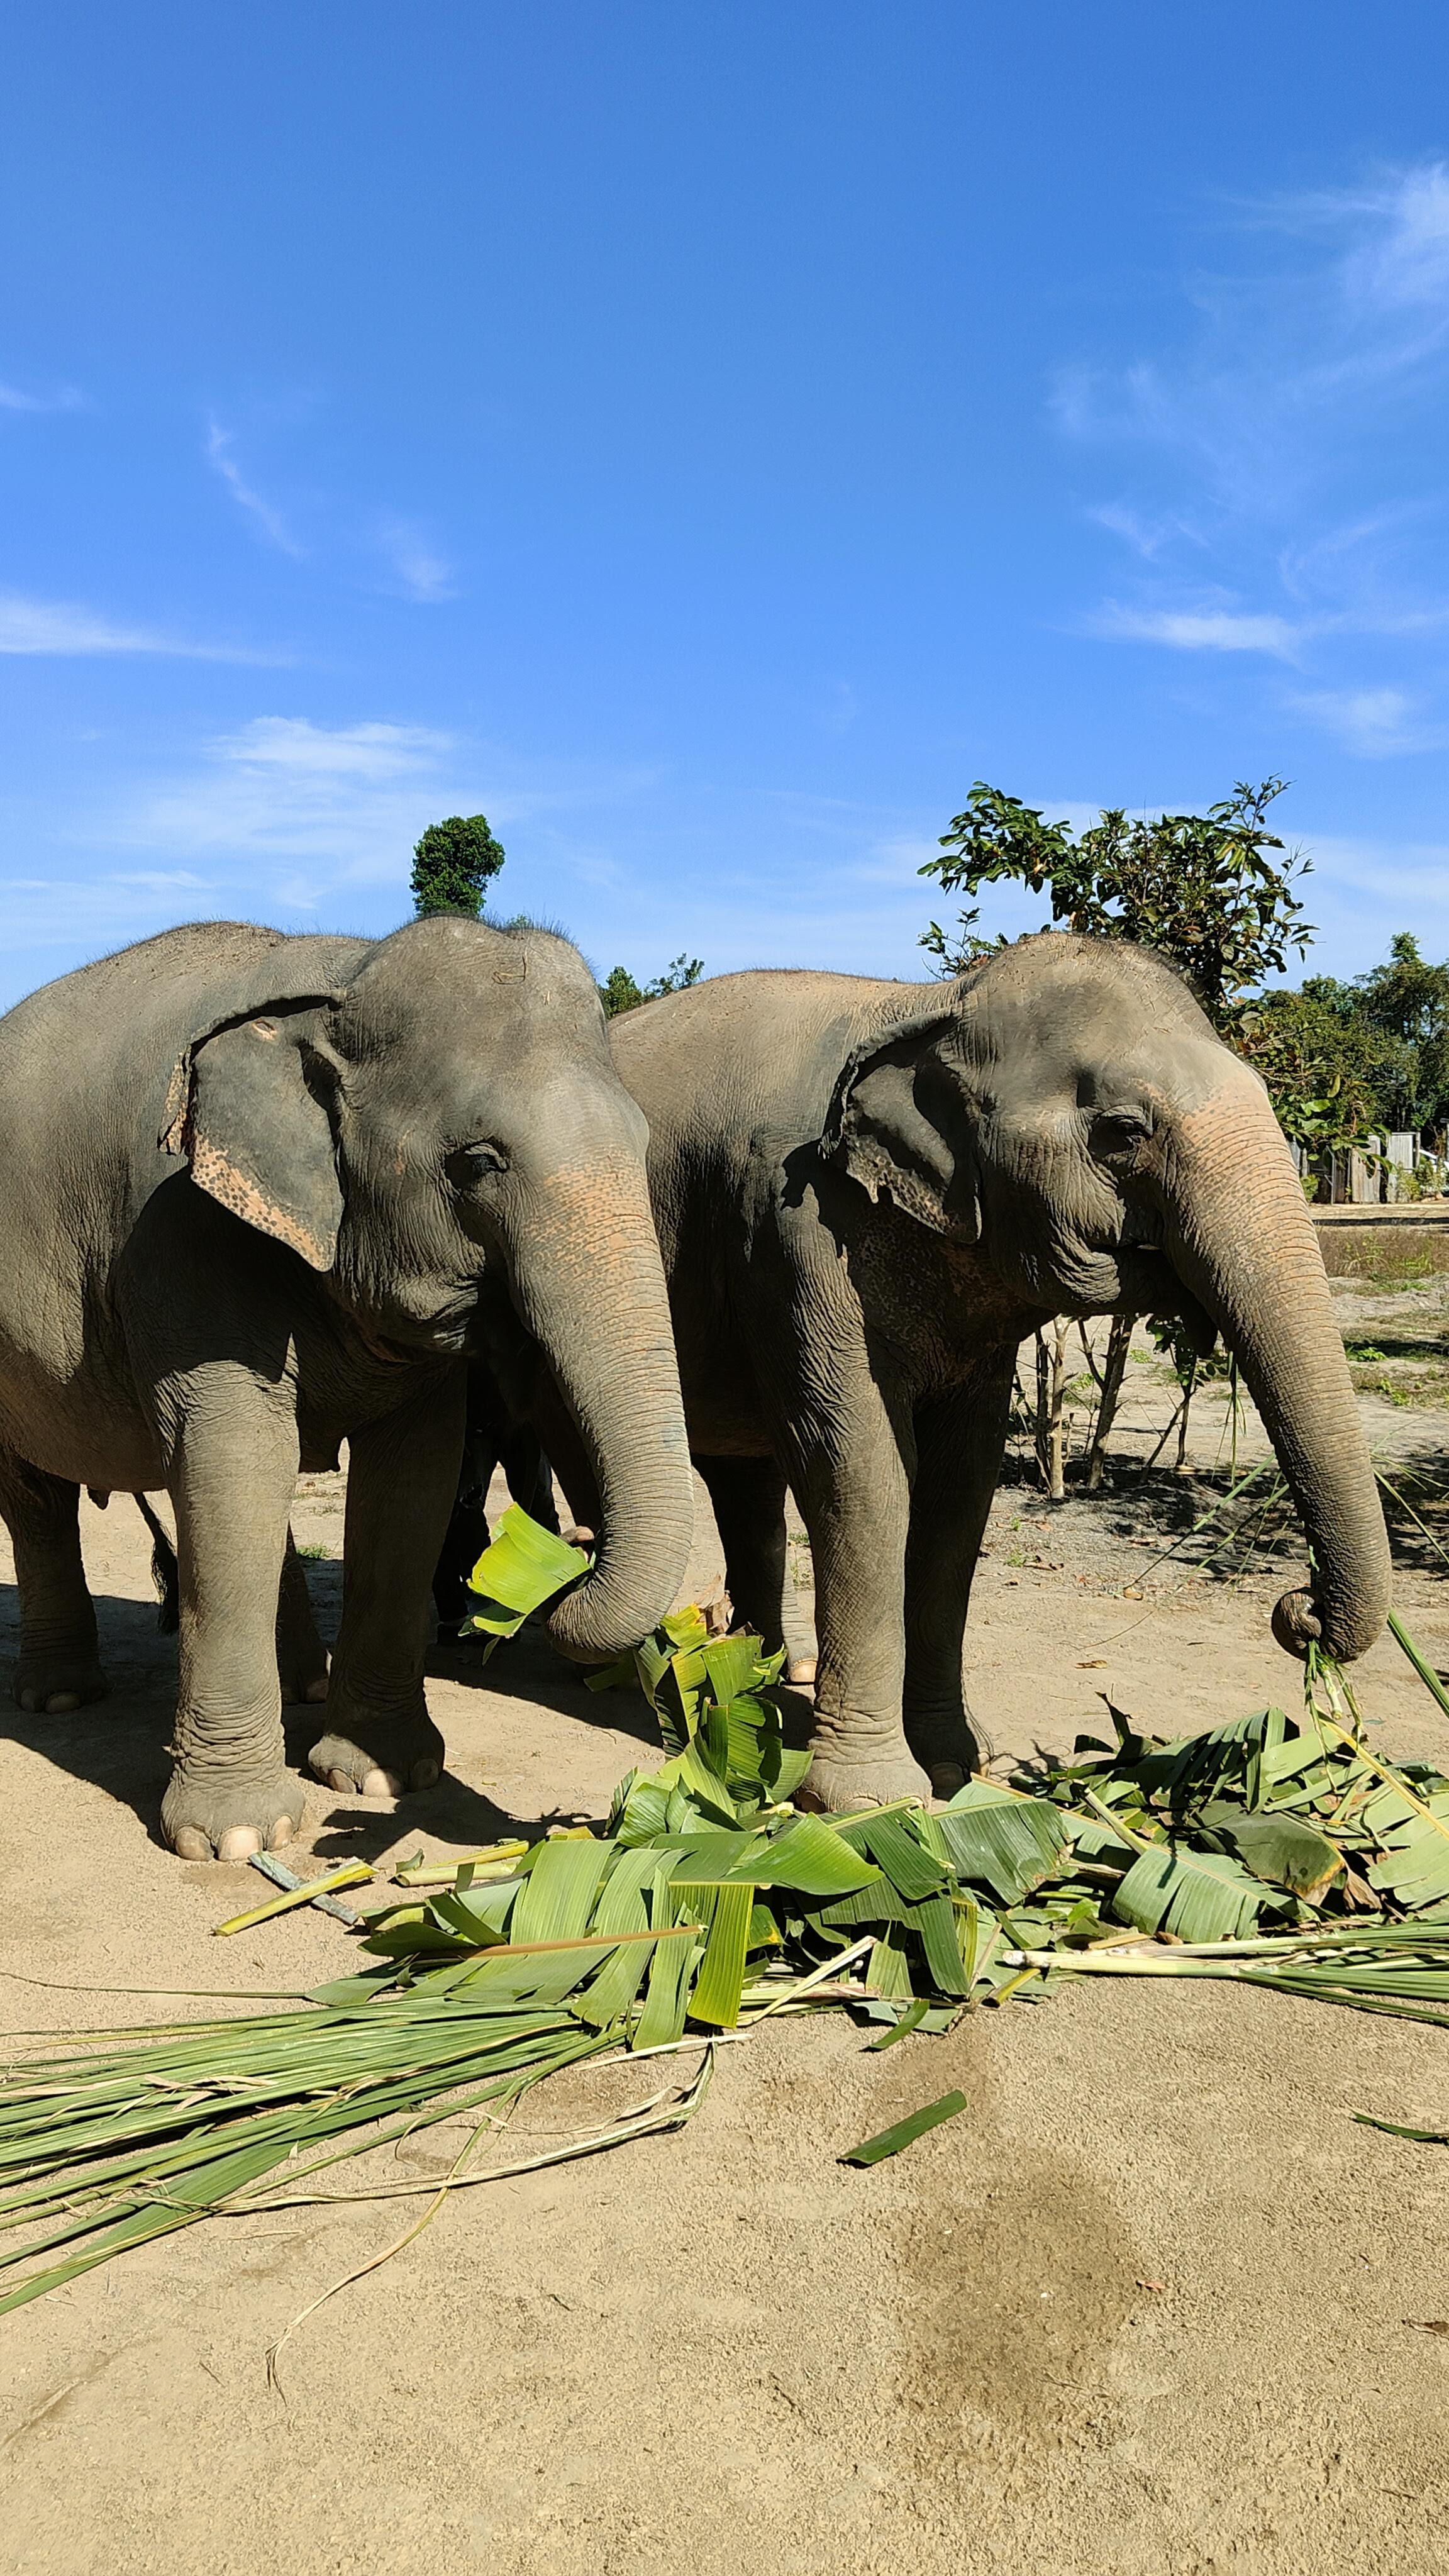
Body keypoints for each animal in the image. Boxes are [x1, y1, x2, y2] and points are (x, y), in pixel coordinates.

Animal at [0, 915, 693, 1858]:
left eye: (645, 1143)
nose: (568, 1570)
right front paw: (238, 1837)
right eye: (477, 1161)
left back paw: (304, 1686)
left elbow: (411, 1478)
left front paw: (381, 1775)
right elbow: (234, 1461)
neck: (340, 977)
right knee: (36, 1493)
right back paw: (63, 1696)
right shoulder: (180, 1232)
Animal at [523, 931, 1390, 1812]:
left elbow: (959, 1486)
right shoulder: (793, 1231)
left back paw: (758, 1679)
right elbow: (861, 1472)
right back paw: (618, 1664)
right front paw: (871, 1800)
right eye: (1122, 1129)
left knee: (746, 1485)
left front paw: (958, 1767)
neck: (932, 1004)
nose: (1299, 1613)